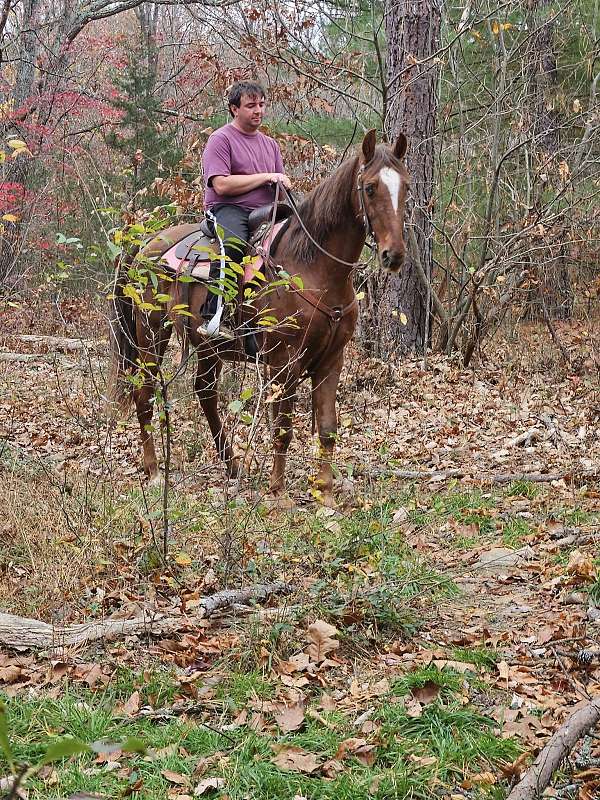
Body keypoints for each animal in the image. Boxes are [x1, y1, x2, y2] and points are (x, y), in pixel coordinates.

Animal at [107, 129, 410, 506]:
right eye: (369, 188)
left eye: (406, 186)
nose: (393, 255)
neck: (313, 266)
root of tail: (147, 242)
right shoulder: (284, 361)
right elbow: (282, 428)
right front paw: (278, 492)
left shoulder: (332, 359)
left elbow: (327, 427)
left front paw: (325, 494)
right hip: (151, 333)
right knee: (144, 393)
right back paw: (153, 471)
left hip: (207, 346)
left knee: (205, 393)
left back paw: (233, 467)